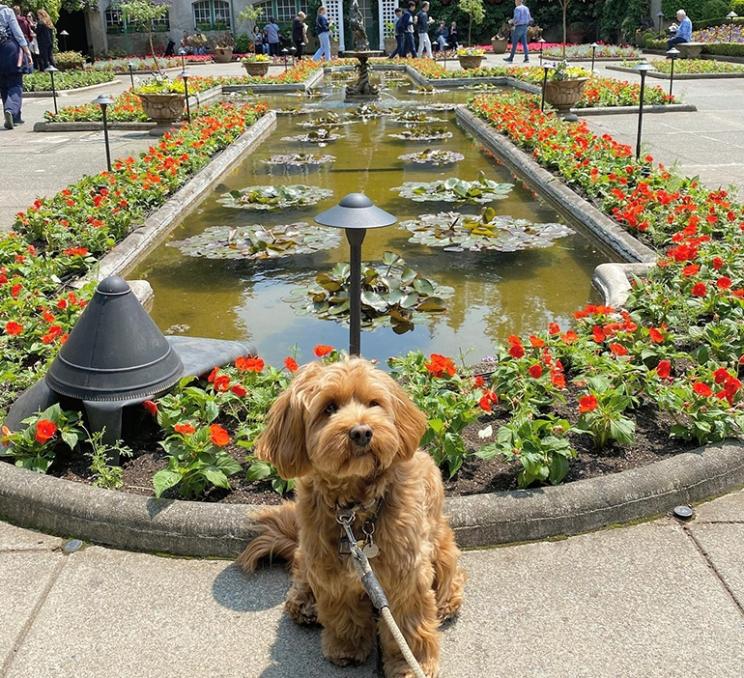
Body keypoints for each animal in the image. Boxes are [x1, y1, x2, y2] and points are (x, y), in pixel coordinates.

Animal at [237, 358, 464, 676]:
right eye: (329, 407)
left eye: (374, 403)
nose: (361, 432)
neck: (355, 509)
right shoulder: (330, 570)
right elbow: (342, 612)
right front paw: (347, 647)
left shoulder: (406, 573)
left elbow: (409, 625)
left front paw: (413, 664)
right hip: (309, 552)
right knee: (300, 570)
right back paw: (304, 603)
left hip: (439, 542)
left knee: (450, 570)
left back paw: (446, 601)